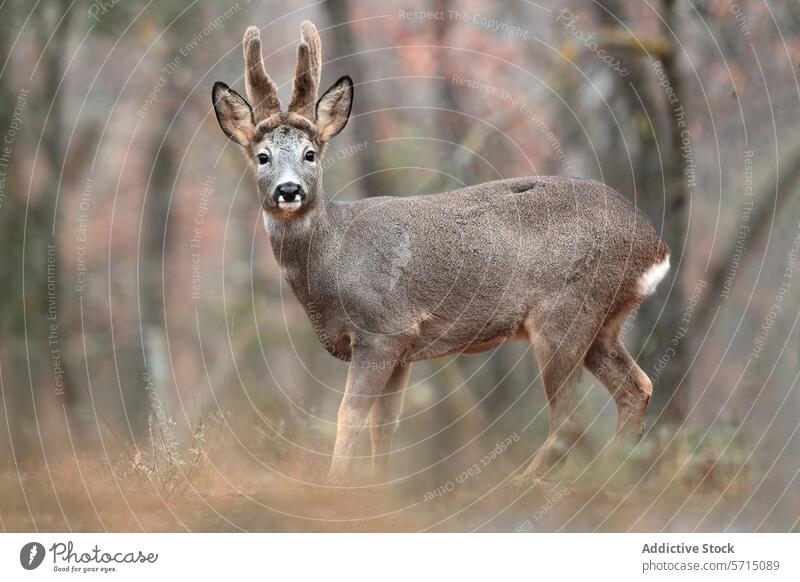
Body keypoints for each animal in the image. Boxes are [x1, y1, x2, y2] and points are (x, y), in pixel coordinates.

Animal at [212, 22, 668, 486]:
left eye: (310, 154)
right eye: (263, 156)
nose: (289, 190)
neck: (333, 260)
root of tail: (656, 246)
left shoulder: (383, 329)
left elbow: (349, 417)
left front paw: (336, 487)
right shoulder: (403, 349)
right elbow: (383, 428)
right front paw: (375, 488)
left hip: (564, 312)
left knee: (571, 420)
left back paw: (522, 484)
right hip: (603, 323)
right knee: (637, 388)